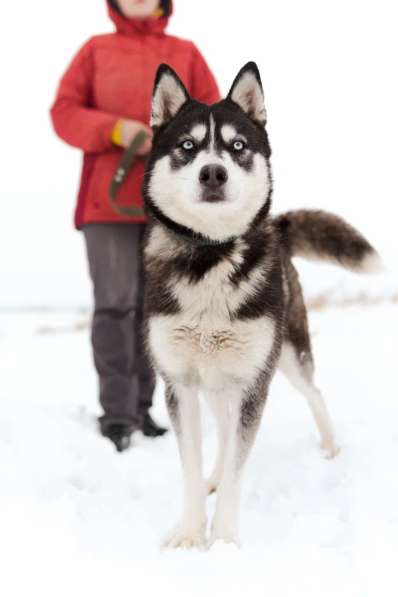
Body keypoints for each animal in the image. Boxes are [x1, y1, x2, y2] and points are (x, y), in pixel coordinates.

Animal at [142, 62, 380, 548]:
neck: (211, 258)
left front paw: (224, 541)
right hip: (220, 379)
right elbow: (192, 467)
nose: (213, 173)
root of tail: (279, 227)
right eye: (187, 146)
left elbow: (239, 465)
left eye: (238, 146)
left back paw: (331, 447)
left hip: (285, 354)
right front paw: (191, 532)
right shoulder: (180, 383)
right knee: (223, 429)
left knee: (314, 393)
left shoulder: (253, 383)